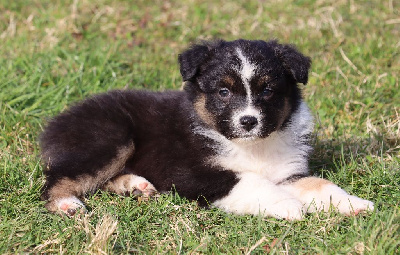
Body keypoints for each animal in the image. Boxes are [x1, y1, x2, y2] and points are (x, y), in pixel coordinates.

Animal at [39, 39, 374, 219]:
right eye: (223, 92)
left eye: (267, 91)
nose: (248, 121)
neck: (251, 147)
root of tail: (60, 119)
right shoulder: (190, 171)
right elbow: (248, 181)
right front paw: (288, 205)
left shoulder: (287, 172)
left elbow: (320, 184)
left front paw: (354, 204)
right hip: (110, 139)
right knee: (57, 180)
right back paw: (67, 204)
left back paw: (134, 186)